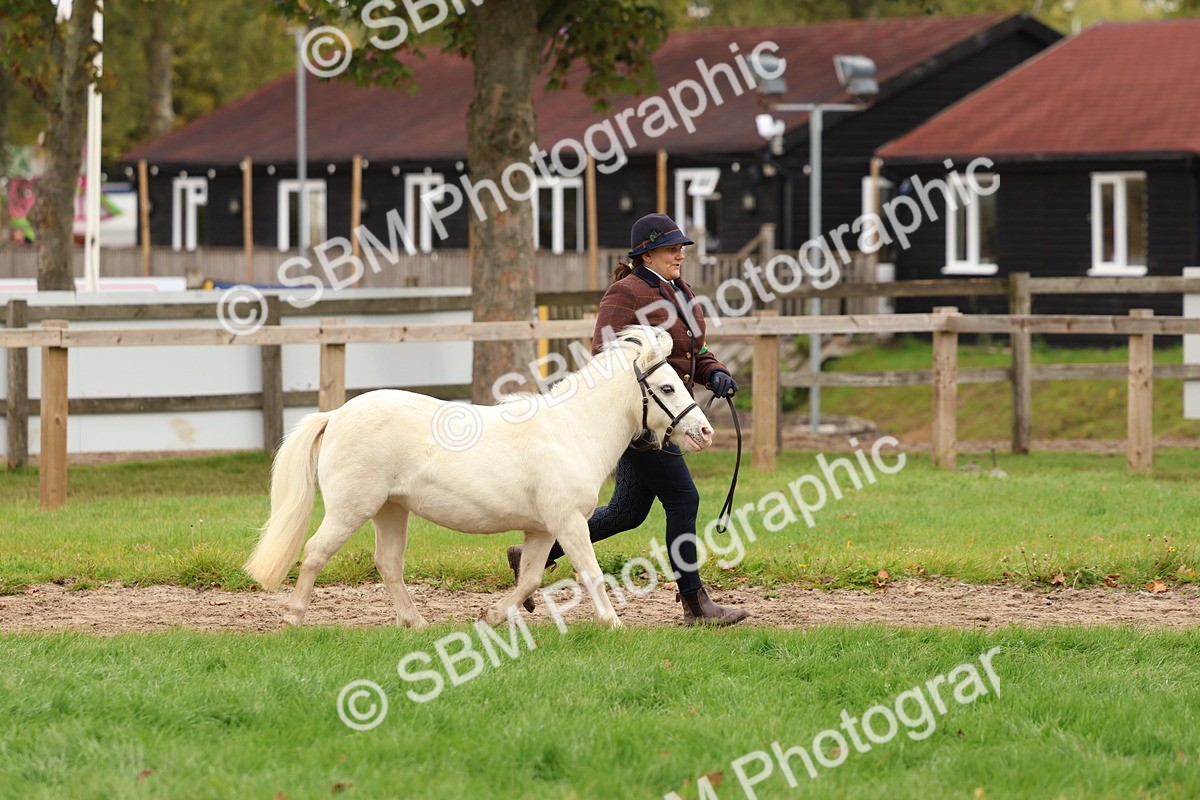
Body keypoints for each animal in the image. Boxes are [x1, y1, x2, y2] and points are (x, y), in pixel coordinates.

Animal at [244, 325, 714, 629]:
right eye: (668, 388)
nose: (704, 431)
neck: (572, 430)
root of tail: (336, 415)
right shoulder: (568, 523)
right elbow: (591, 571)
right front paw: (613, 623)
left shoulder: (542, 530)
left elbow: (531, 578)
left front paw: (492, 615)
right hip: (350, 509)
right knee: (315, 552)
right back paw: (293, 617)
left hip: (390, 511)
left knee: (388, 565)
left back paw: (416, 623)